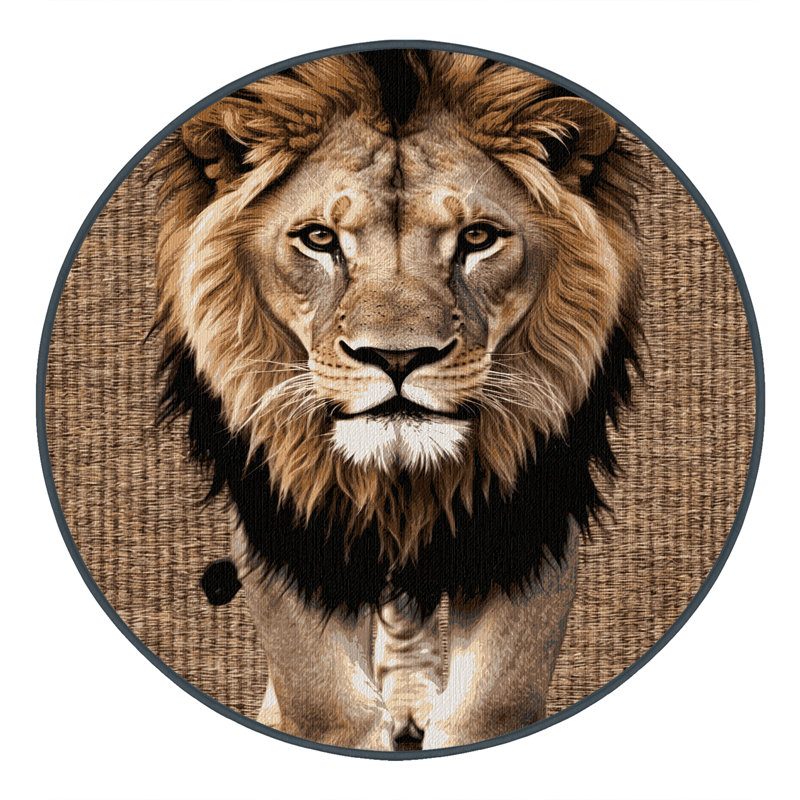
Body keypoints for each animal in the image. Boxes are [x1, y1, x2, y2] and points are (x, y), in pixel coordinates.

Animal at [153, 50, 642, 751]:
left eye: (478, 237)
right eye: (319, 239)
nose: (398, 359)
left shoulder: (530, 505)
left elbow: (494, 700)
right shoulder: (284, 505)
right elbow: (323, 699)